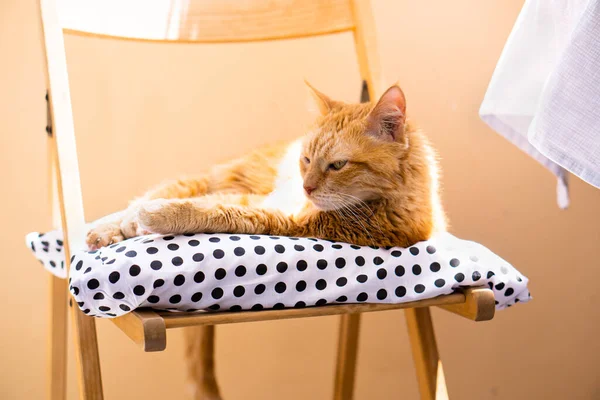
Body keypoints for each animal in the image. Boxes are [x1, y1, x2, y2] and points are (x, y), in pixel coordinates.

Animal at [86, 84, 442, 250]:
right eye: (307, 159)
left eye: (338, 165)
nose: (307, 187)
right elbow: (197, 204)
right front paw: (137, 220)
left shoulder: (281, 218)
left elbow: (210, 211)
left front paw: (155, 216)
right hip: (216, 177)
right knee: (148, 197)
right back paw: (105, 230)